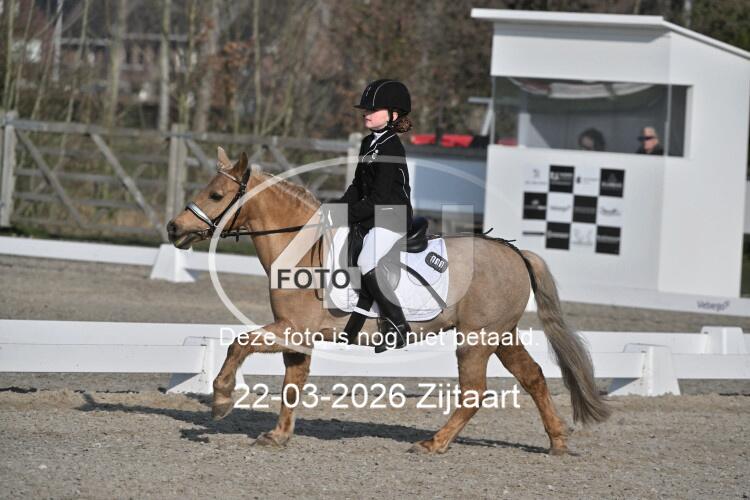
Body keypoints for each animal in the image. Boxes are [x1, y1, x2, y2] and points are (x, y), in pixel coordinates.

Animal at [166, 147, 610, 454]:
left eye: (216, 194)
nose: (174, 228)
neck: (301, 247)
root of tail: (514, 251)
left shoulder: (292, 330)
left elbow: (239, 343)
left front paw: (221, 399)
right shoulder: (297, 337)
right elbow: (292, 385)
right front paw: (277, 436)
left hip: (476, 340)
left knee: (474, 392)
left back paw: (433, 444)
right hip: (500, 335)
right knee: (533, 377)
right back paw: (557, 442)